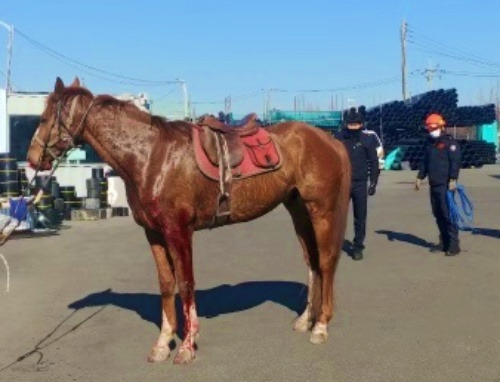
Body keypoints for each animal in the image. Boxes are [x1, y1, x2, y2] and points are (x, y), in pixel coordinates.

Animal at [27, 77, 352, 364]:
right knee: (311, 261)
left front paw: (186, 347)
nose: (32, 158)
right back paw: (305, 320)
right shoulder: (154, 233)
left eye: (44, 117)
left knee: (326, 261)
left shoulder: (179, 231)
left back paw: (320, 326)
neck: (152, 156)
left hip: (321, 210)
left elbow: (185, 284)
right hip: (298, 210)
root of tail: (330, 141)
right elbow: (166, 283)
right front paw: (162, 344)